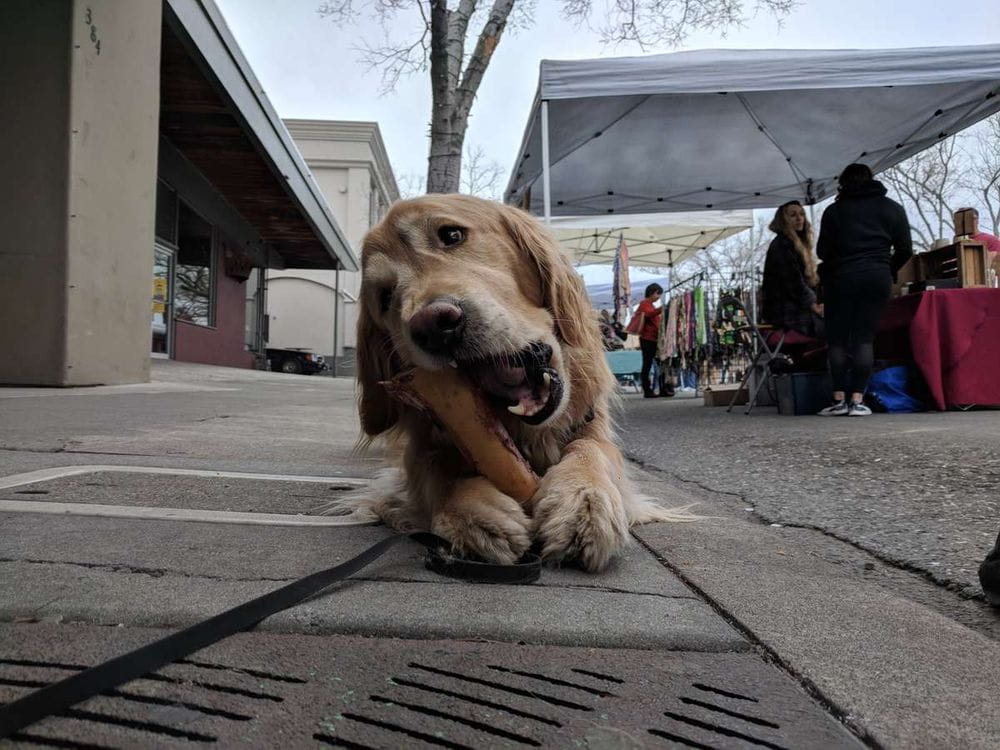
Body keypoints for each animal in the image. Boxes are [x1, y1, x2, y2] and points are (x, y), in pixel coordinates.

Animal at [346, 197, 688, 572]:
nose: (433, 327)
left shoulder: (593, 429)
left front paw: (582, 499)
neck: (532, 436)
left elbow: (593, 449)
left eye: (452, 235)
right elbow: (436, 468)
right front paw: (474, 511)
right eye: (385, 296)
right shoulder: (425, 447)